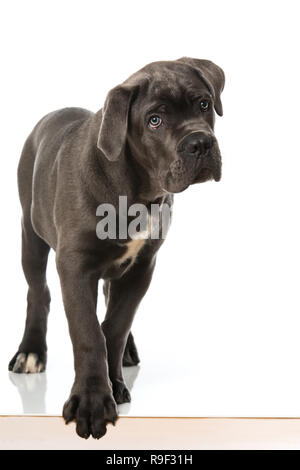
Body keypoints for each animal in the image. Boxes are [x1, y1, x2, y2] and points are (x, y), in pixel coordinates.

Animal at [8, 57, 225, 438]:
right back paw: (31, 352)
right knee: (38, 292)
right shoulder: (75, 267)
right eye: (155, 120)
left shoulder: (141, 266)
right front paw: (92, 402)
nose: (200, 142)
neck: (136, 187)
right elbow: (88, 333)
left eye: (204, 104)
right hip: (30, 234)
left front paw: (114, 382)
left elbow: (115, 326)